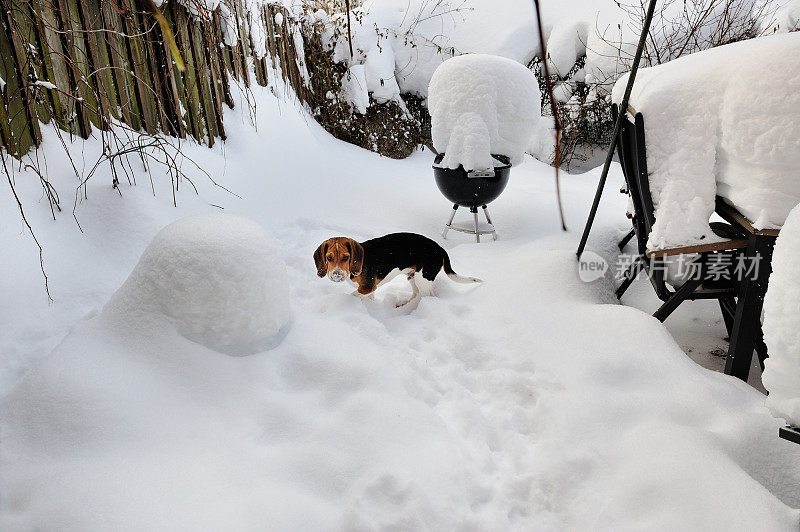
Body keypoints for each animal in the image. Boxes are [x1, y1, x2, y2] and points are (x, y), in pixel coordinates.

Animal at [316, 233, 482, 304]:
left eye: (346, 257)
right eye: (329, 258)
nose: (336, 275)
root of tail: (440, 248)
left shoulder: (368, 287)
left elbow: (352, 295)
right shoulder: (370, 289)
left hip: (423, 279)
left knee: (429, 297)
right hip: (412, 277)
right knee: (415, 294)